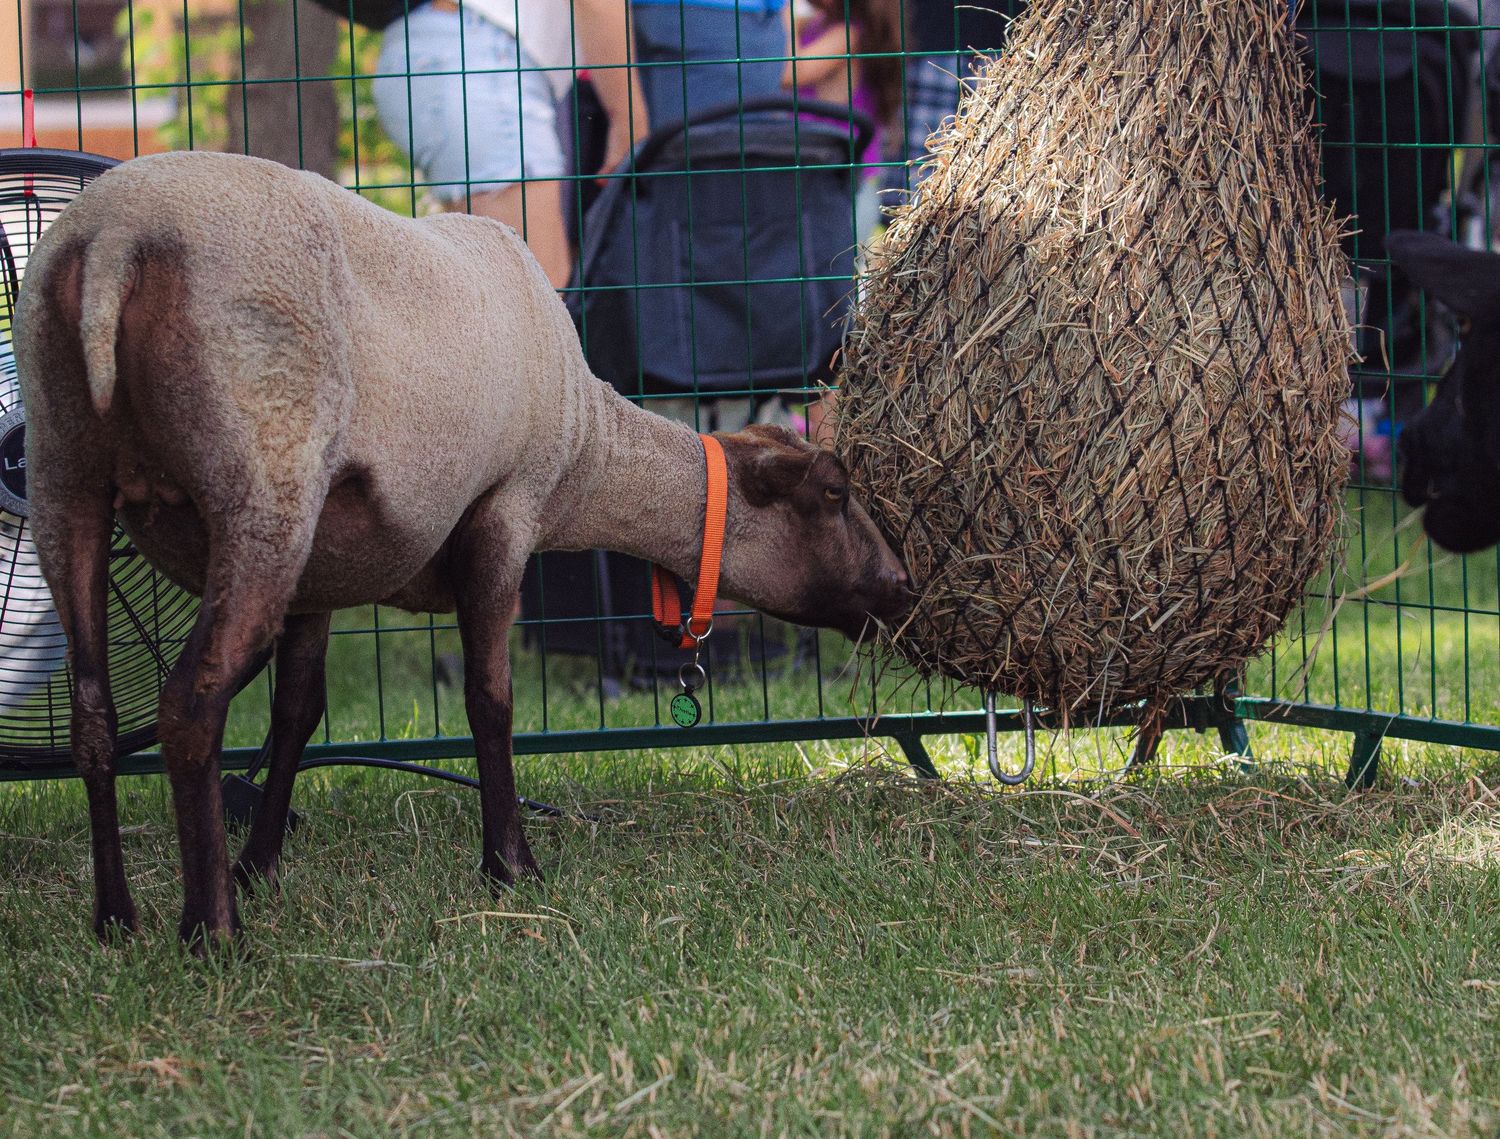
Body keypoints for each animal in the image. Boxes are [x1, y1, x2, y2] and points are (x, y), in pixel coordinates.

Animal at [15, 150, 911, 948]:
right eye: (836, 493)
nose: (903, 585)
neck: (589, 450)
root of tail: (114, 240)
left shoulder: (321, 576)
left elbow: (297, 711)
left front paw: (260, 863)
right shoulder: (505, 511)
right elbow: (491, 700)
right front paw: (512, 865)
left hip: (65, 473)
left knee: (94, 715)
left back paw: (115, 919)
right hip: (263, 478)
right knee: (189, 706)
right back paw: (211, 932)